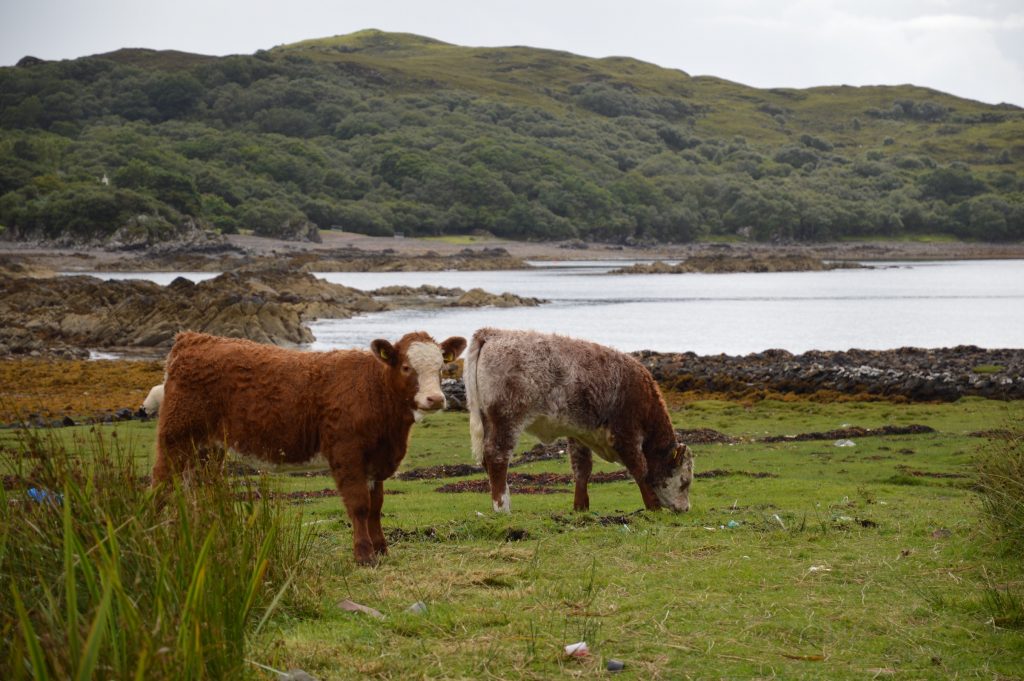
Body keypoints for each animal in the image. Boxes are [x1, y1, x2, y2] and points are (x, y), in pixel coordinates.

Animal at [152, 329, 468, 561]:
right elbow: (359, 506)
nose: (435, 399)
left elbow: (376, 506)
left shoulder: (375, 461)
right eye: (405, 367)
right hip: (176, 438)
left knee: (198, 493)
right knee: (161, 485)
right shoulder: (347, 453)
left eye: (442, 367)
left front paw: (381, 549)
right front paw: (364, 555)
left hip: (207, 449)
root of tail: (193, 339)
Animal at [466, 327, 696, 512]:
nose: (685, 508)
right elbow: (641, 470)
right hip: (506, 419)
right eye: (685, 482)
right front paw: (653, 507)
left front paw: (580, 507)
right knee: (497, 457)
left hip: (487, 420)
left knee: (487, 459)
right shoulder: (625, 433)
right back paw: (502, 506)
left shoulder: (579, 434)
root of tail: (492, 333)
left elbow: (582, 469)